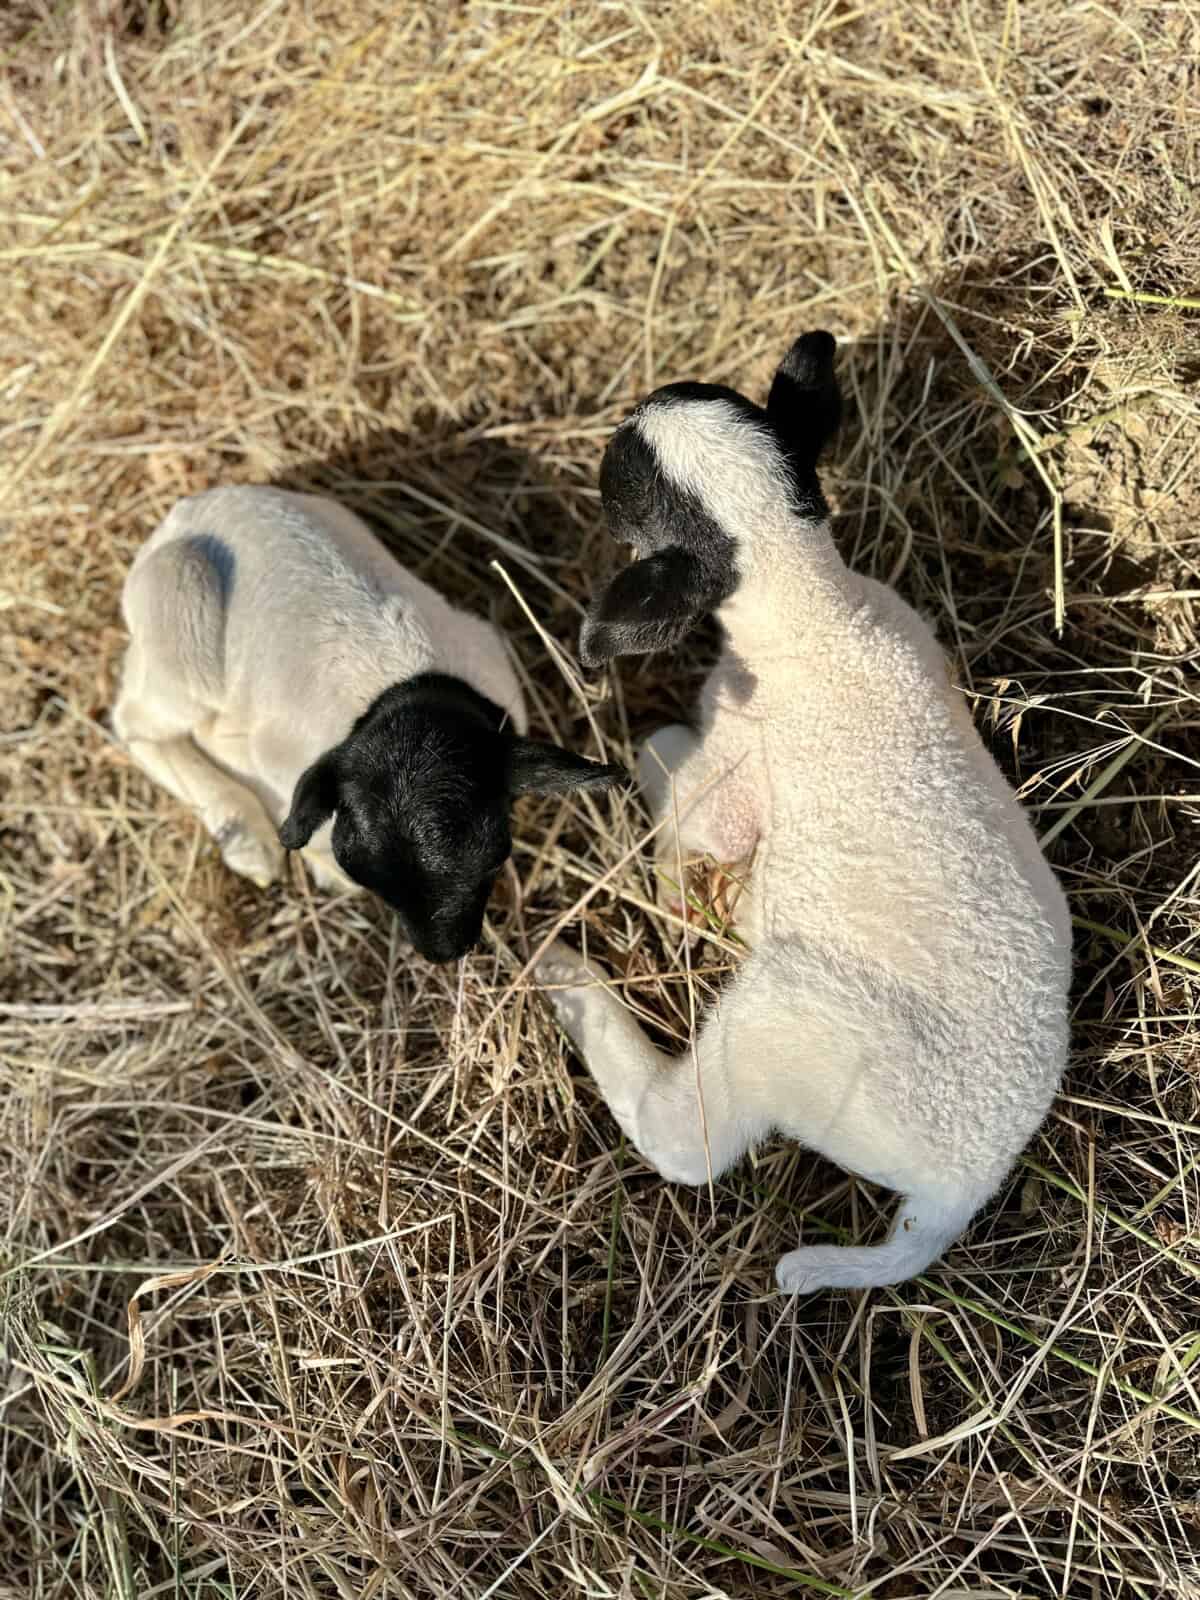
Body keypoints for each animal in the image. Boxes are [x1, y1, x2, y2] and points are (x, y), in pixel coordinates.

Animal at [113, 485, 624, 964]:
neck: (404, 691)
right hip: (181, 601)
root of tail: (184, 512)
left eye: (496, 856)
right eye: (365, 873)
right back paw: (244, 834)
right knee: (135, 721)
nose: (443, 953)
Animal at [535, 332, 1072, 1293]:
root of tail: (961, 1186)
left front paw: (675, 882)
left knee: (685, 1139)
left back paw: (570, 984)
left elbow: (666, 760)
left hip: (784, 1026)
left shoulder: (727, 780)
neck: (820, 617)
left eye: (619, 487)